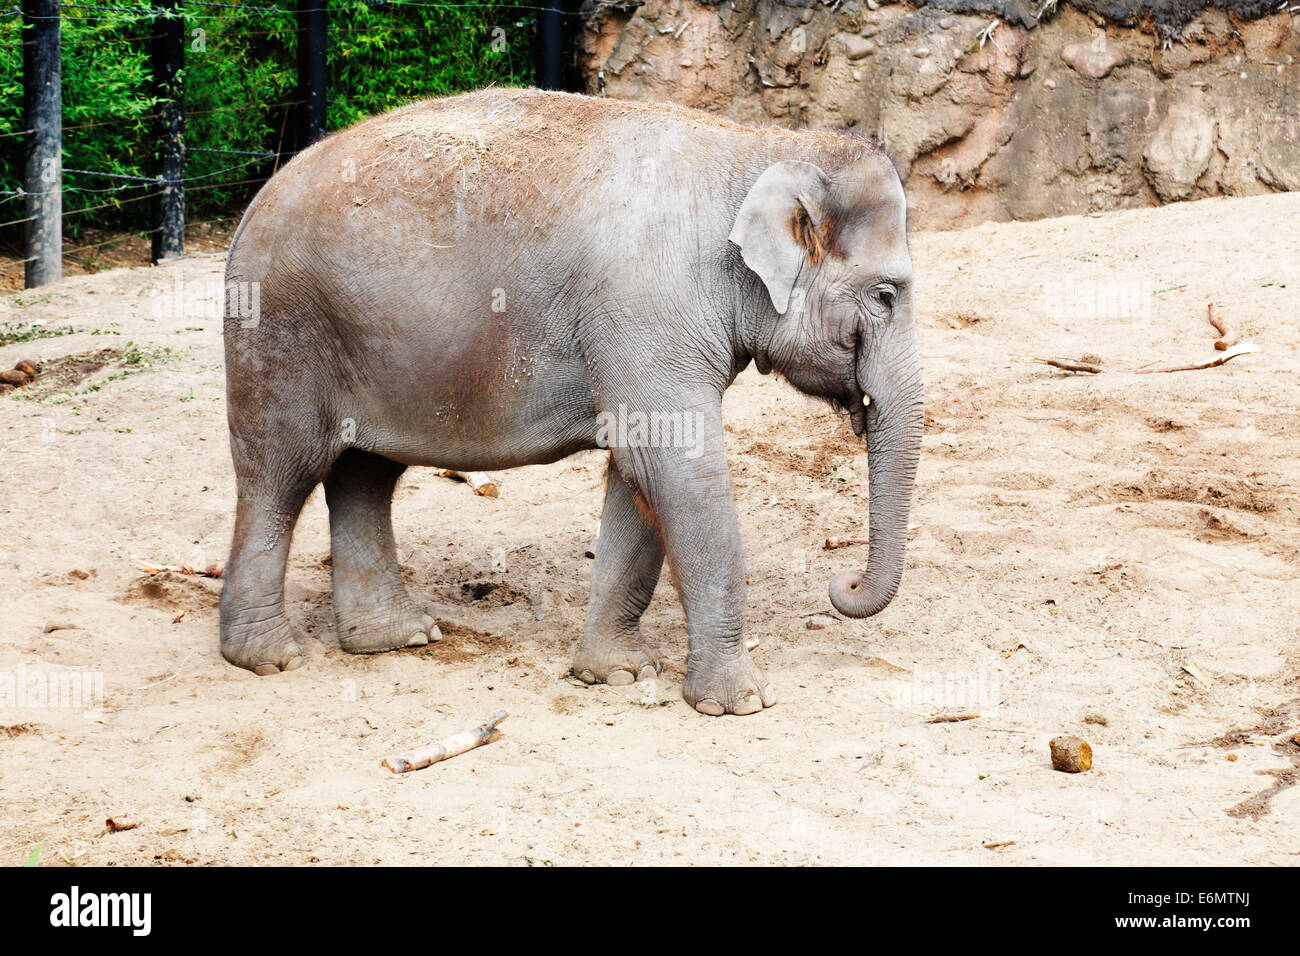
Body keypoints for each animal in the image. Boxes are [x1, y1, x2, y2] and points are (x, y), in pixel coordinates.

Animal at [218, 85, 920, 717]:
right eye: (886, 295)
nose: (843, 582)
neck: (761, 146)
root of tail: (254, 204)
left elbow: (638, 474)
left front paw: (615, 675)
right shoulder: (646, 307)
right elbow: (678, 471)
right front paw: (740, 703)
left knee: (365, 474)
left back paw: (396, 639)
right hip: (277, 334)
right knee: (279, 475)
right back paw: (269, 658)